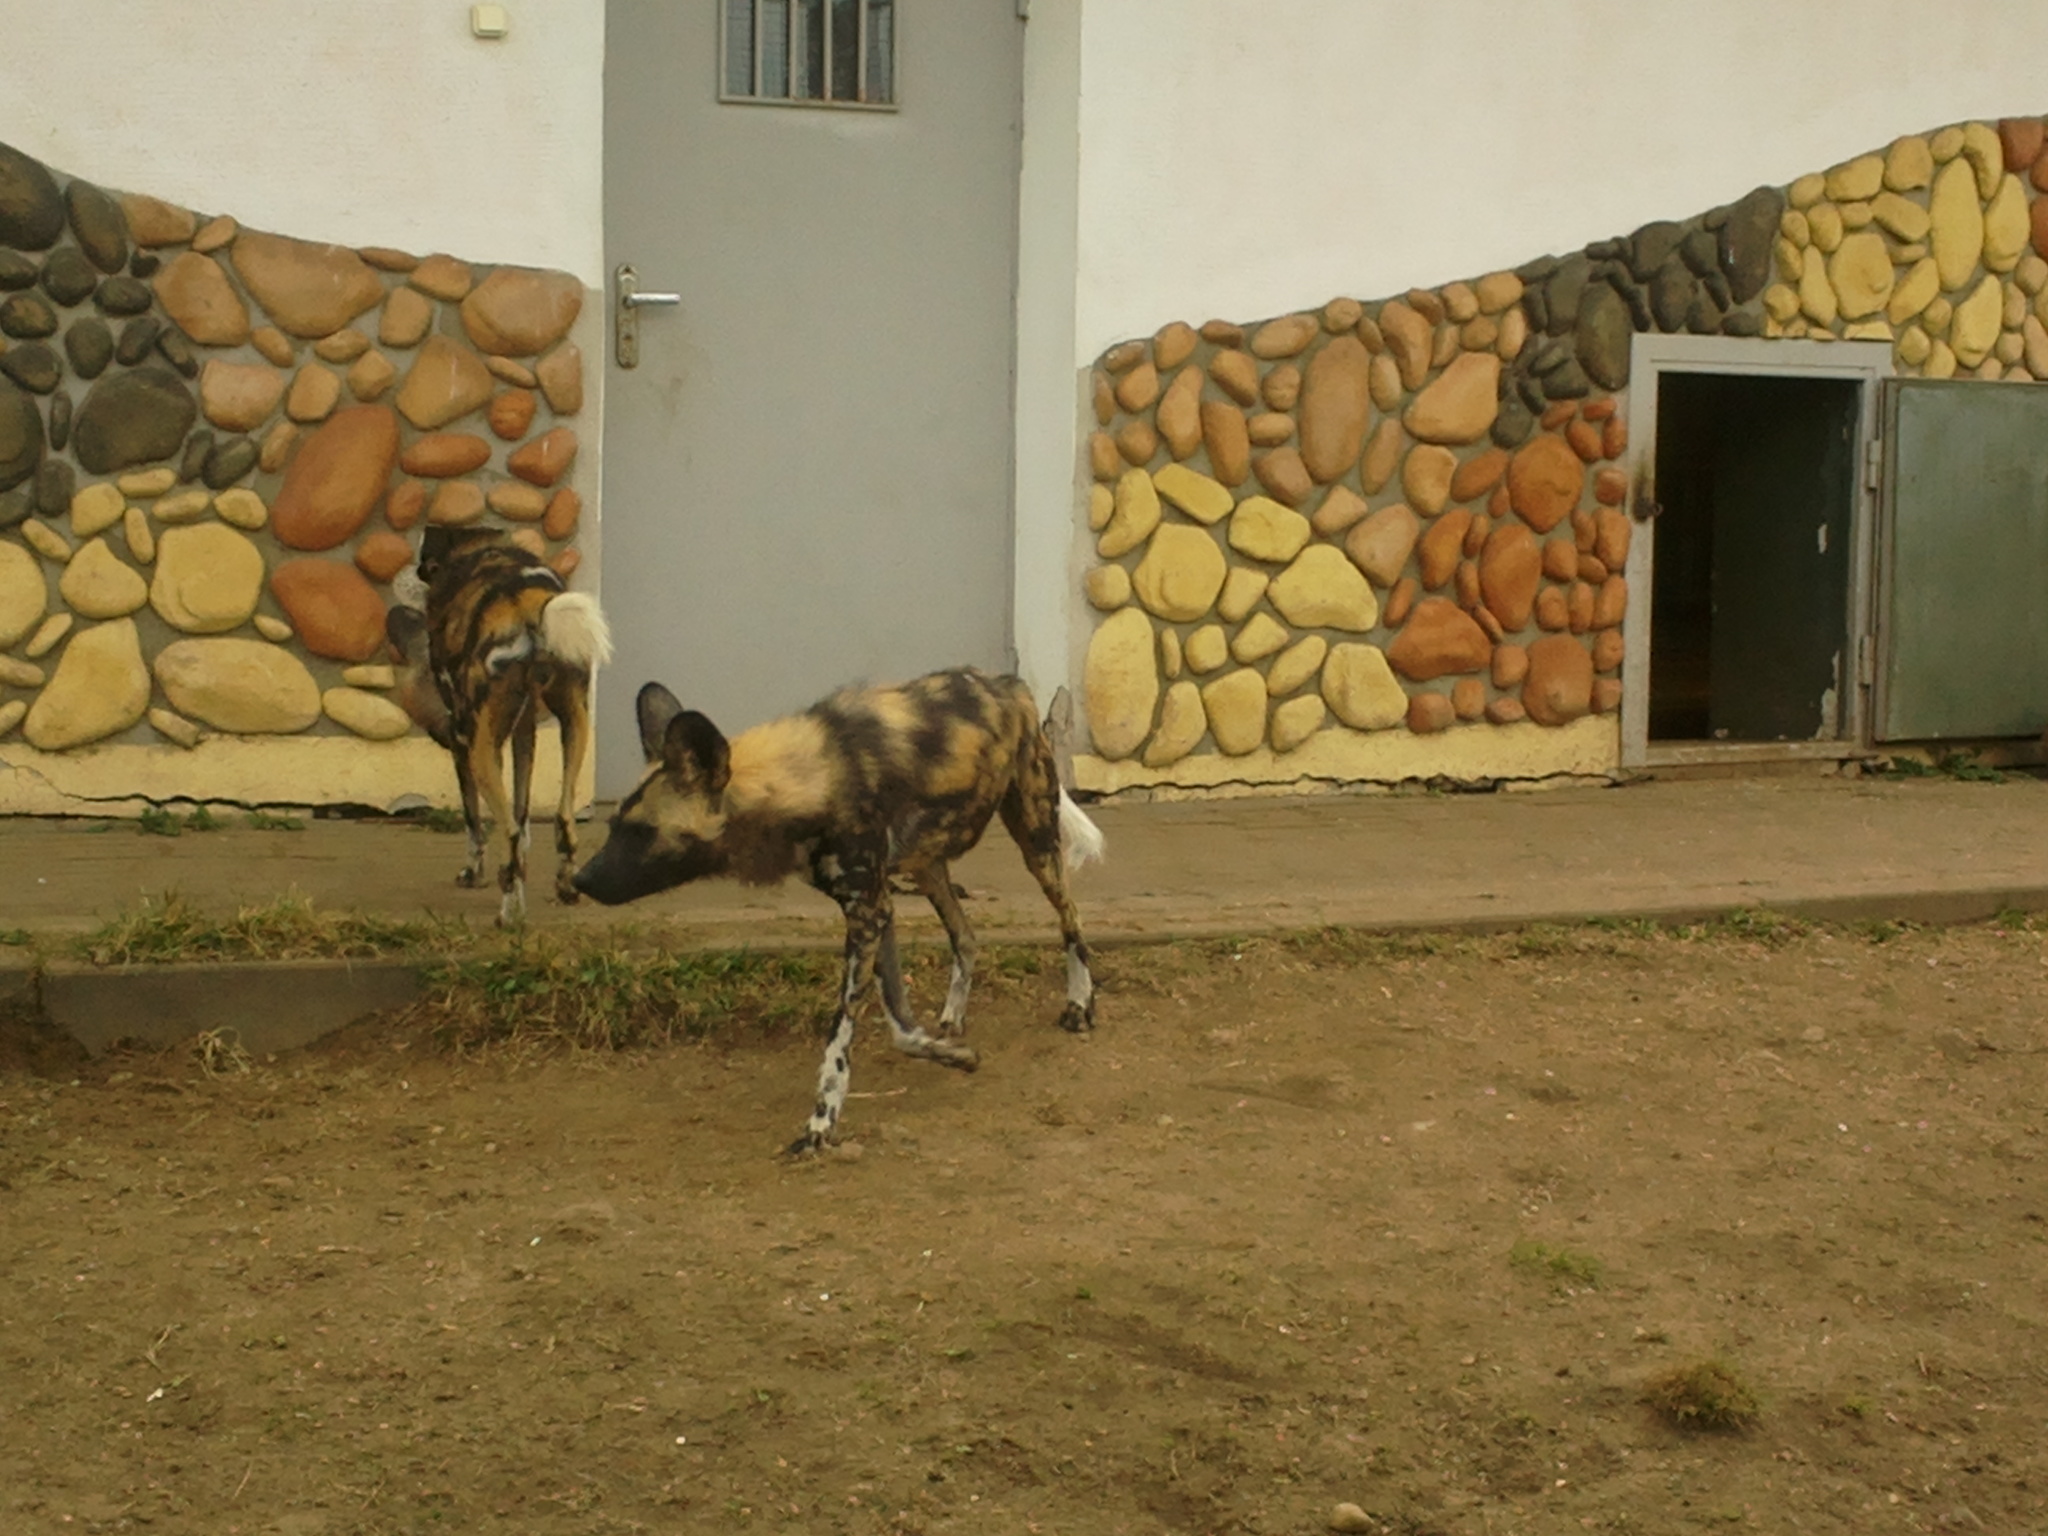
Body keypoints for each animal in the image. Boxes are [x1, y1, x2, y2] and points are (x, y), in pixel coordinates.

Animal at [385, 528, 606, 925]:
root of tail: (525, 605)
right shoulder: (523, 732)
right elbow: (524, 808)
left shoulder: (463, 739)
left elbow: (474, 825)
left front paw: (473, 874)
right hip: (576, 725)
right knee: (562, 821)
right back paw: (565, 890)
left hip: (480, 751)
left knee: (511, 836)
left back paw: (509, 915)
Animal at [569, 667, 1114, 1146]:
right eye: (615, 825)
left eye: (641, 832)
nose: (578, 879)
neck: (810, 781)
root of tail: (1008, 685)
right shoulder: (876, 908)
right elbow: (901, 1028)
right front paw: (952, 1054)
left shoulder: (868, 912)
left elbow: (840, 1040)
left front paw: (821, 1122)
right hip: (925, 865)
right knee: (966, 935)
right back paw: (954, 1017)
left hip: (1036, 844)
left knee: (1072, 921)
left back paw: (1079, 1004)